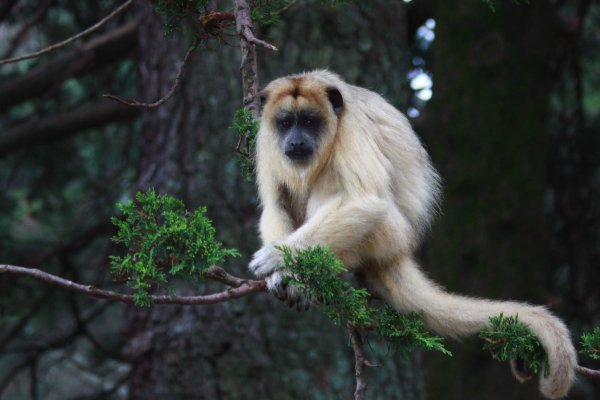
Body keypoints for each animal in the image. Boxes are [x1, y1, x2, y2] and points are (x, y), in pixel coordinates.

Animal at [247, 70, 576, 398]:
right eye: (285, 123)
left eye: (309, 121)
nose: (295, 141)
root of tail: (402, 248)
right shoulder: (265, 140)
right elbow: (275, 205)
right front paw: (279, 272)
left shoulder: (352, 128)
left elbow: (366, 200)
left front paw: (278, 258)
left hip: (387, 233)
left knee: (336, 183)